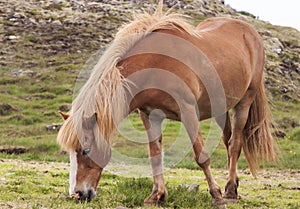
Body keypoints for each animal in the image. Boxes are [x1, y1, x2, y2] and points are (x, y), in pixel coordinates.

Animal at [56, 1, 278, 207]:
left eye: (85, 150)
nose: (77, 194)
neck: (155, 65)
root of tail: (250, 32)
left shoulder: (188, 111)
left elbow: (201, 156)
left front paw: (216, 195)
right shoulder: (149, 115)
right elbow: (155, 155)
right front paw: (157, 195)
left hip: (244, 102)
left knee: (235, 144)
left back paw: (230, 190)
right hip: (221, 108)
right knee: (227, 139)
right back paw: (234, 185)